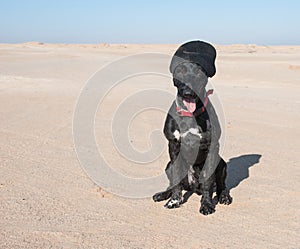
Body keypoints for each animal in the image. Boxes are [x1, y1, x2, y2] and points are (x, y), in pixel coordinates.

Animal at [152, 40, 232, 214]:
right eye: (180, 71)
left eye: (199, 73)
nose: (188, 92)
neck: (191, 115)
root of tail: (193, 187)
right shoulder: (173, 146)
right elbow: (175, 179)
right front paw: (174, 201)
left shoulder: (212, 147)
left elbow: (208, 180)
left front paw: (207, 204)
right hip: (168, 165)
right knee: (174, 183)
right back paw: (163, 194)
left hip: (221, 163)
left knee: (221, 185)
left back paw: (224, 197)